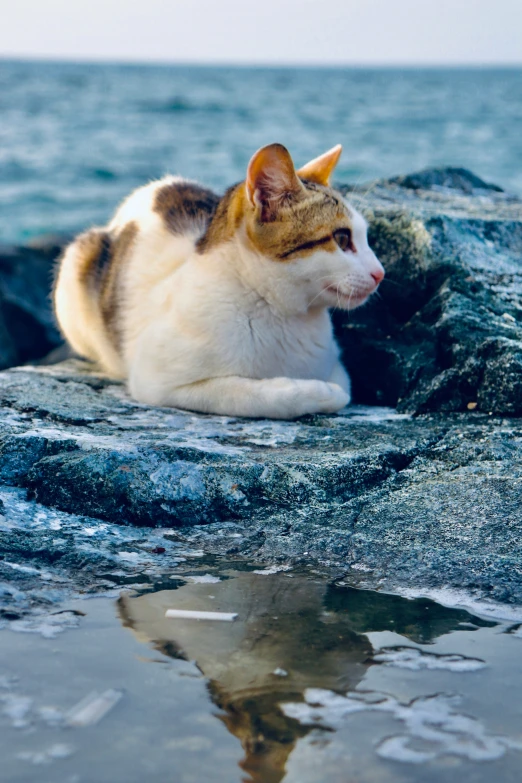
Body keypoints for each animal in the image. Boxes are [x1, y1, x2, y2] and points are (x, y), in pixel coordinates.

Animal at [53, 143, 382, 420]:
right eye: (342, 239)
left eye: (365, 237)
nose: (380, 273)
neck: (281, 314)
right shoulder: (159, 380)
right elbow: (253, 394)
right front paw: (317, 392)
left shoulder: (334, 364)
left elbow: (344, 384)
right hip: (76, 263)